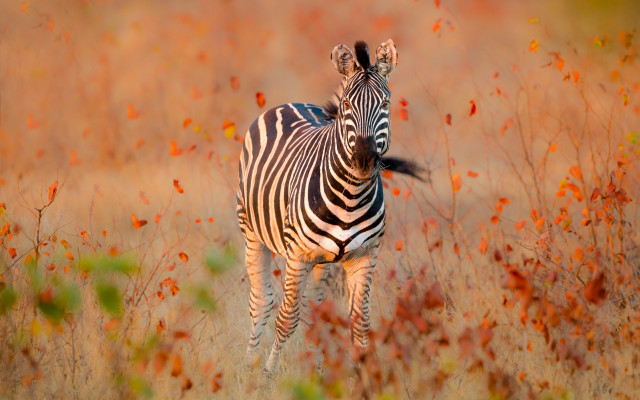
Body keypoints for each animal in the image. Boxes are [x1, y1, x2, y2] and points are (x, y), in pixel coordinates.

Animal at [236, 39, 421, 374]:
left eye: (385, 104)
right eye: (347, 104)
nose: (364, 159)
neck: (350, 197)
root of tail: (292, 103)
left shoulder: (366, 256)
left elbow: (359, 322)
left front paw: (364, 377)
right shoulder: (297, 256)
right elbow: (286, 319)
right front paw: (268, 375)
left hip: (321, 259)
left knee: (314, 306)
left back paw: (317, 370)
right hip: (252, 234)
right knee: (262, 303)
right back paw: (249, 369)